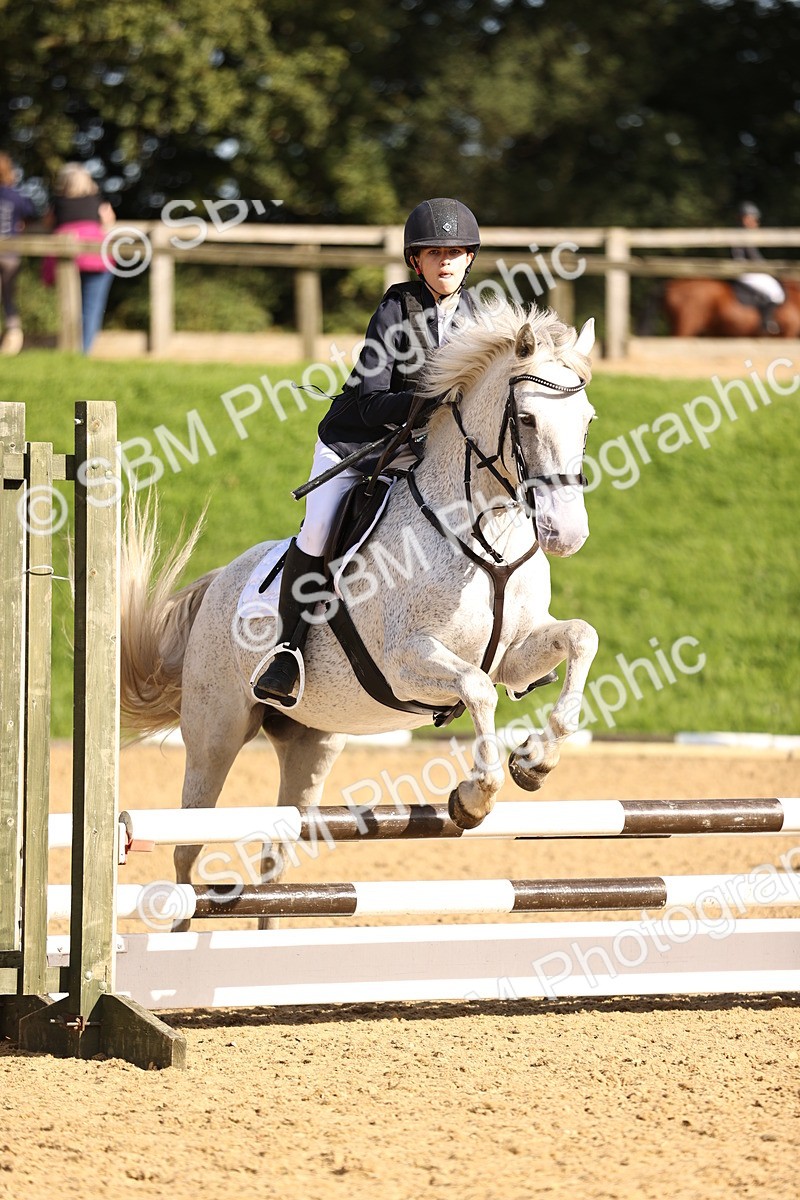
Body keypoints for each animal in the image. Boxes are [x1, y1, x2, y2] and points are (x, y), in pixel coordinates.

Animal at [119, 304, 599, 910]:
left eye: (587, 421)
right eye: (529, 420)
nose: (568, 534)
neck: (486, 531)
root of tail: (217, 584)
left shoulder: (514, 655)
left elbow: (580, 638)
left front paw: (537, 759)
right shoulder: (405, 660)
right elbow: (478, 690)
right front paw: (475, 797)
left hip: (311, 741)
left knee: (276, 854)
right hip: (215, 733)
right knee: (187, 846)